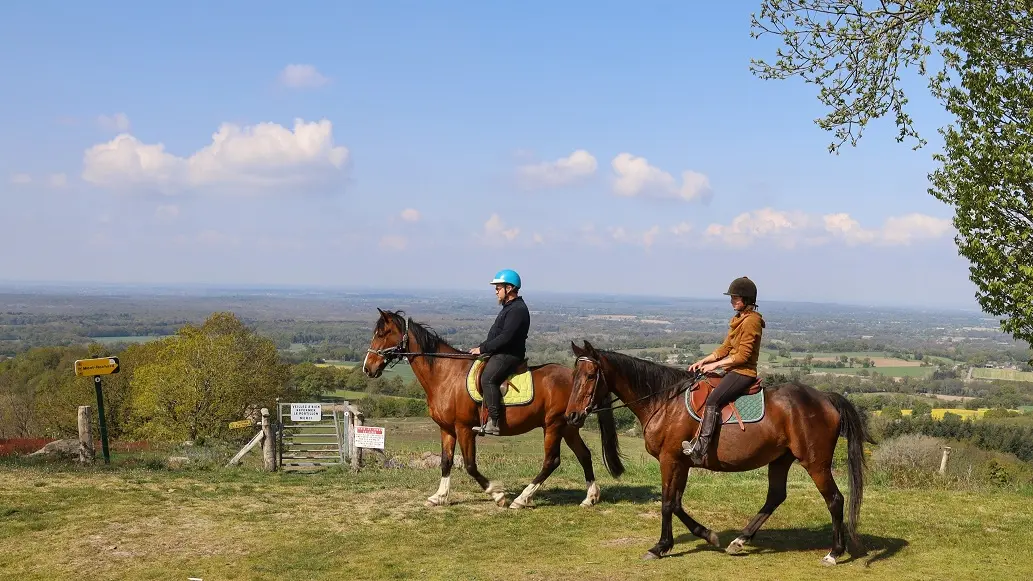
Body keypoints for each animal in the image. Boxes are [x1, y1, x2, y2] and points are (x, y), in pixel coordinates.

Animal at [363, 308, 619, 506]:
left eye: (382, 333)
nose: (368, 368)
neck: (446, 375)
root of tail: (578, 377)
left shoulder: (464, 428)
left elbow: (469, 465)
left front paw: (497, 494)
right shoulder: (447, 429)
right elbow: (446, 462)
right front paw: (439, 496)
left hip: (553, 425)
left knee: (552, 461)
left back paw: (522, 499)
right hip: (569, 425)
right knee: (584, 454)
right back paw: (590, 496)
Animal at [566, 337, 871, 562]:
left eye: (591, 375)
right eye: (574, 374)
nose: (572, 416)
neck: (664, 401)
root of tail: (826, 398)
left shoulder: (669, 460)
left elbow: (667, 503)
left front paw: (660, 546)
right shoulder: (682, 462)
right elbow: (676, 502)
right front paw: (708, 535)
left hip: (815, 462)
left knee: (835, 499)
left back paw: (834, 553)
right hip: (781, 459)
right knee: (775, 496)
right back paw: (739, 540)